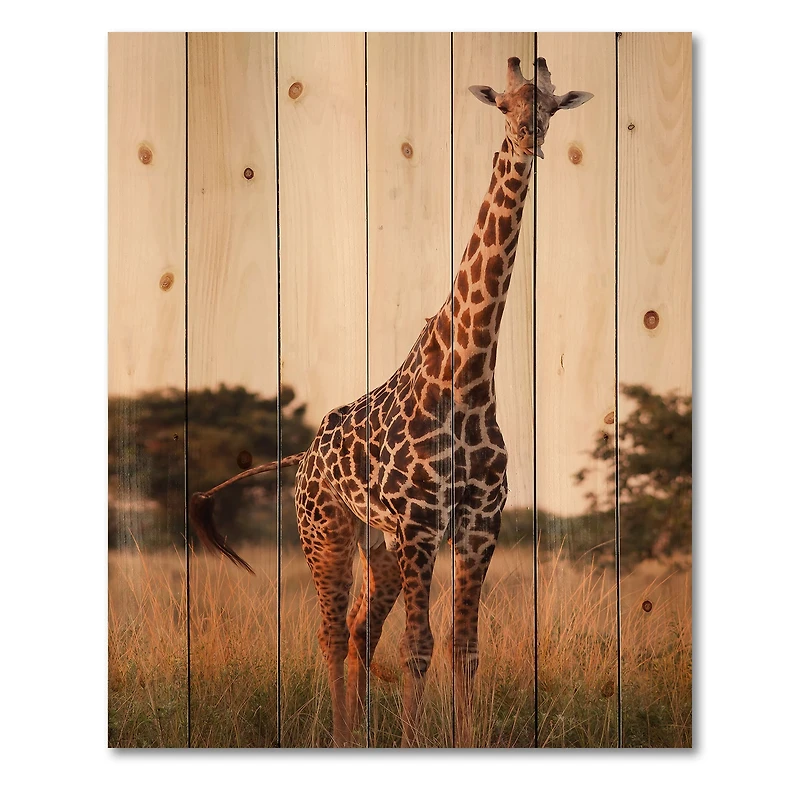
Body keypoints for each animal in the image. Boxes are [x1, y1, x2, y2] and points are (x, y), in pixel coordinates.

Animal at [190, 56, 592, 747]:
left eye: (548, 107)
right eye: (503, 105)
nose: (527, 139)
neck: (469, 381)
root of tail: (301, 459)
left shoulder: (478, 525)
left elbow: (464, 647)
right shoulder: (420, 525)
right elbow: (419, 646)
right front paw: (413, 739)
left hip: (375, 543)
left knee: (359, 629)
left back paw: (358, 735)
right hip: (326, 530)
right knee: (331, 632)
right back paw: (342, 737)